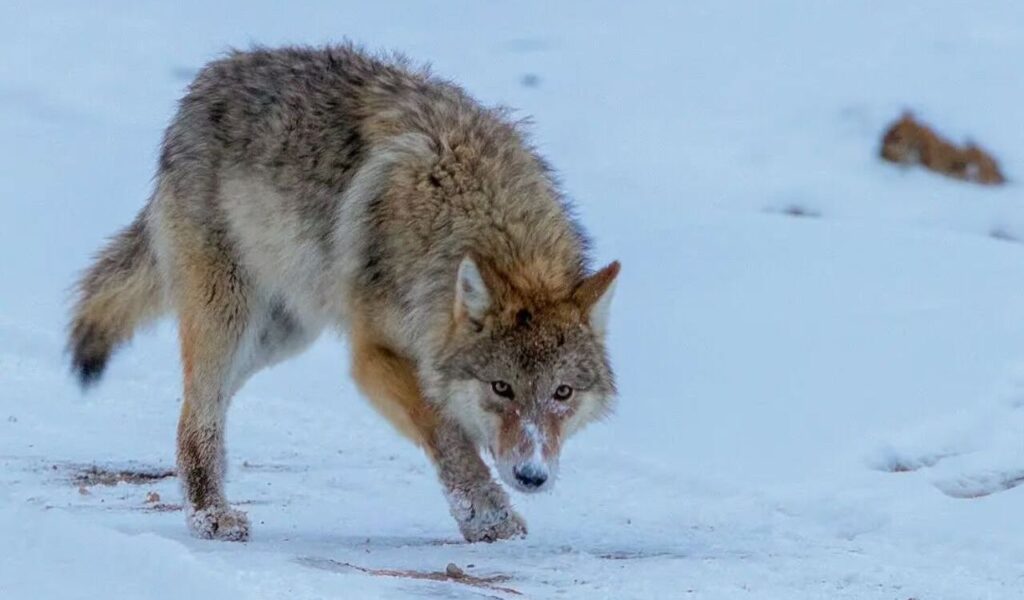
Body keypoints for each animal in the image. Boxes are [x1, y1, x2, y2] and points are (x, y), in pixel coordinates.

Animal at [68, 44, 619, 543]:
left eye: (562, 393)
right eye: (501, 388)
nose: (532, 476)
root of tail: (208, 77)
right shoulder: (375, 356)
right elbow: (448, 436)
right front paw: (489, 517)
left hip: (278, 335)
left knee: (200, 404)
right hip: (229, 319)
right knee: (197, 412)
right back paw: (210, 516)